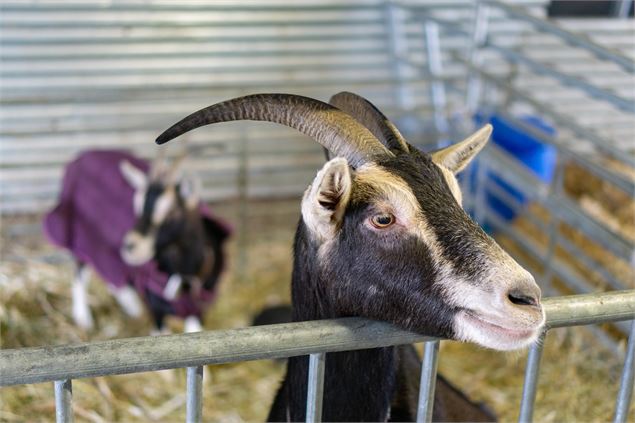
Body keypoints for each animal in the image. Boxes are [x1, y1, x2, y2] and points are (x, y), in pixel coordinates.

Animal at [42, 149, 231, 334]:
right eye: (137, 206)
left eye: (170, 212)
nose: (130, 246)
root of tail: (80, 157)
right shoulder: (157, 309)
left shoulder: (199, 311)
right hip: (83, 234)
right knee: (80, 271)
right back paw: (83, 319)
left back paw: (131, 306)